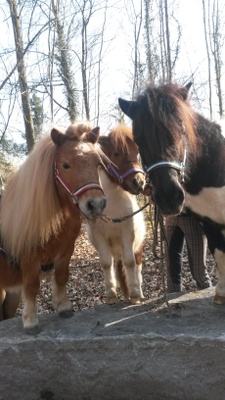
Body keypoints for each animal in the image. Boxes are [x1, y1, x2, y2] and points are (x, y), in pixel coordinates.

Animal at [0, 122, 106, 334]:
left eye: (98, 164)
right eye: (65, 165)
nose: (96, 204)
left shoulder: (66, 252)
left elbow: (62, 276)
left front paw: (63, 306)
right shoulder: (29, 260)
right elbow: (32, 286)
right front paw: (31, 321)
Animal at [86, 124, 146, 304]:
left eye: (137, 151)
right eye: (116, 154)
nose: (139, 182)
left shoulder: (127, 233)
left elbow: (130, 263)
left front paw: (135, 295)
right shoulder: (100, 237)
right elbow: (106, 263)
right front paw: (111, 295)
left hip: (138, 248)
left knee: (137, 269)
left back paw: (139, 293)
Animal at [119, 83, 225, 304]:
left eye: (181, 130)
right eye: (139, 139)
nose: (169, 197)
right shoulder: (209, 219)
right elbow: (219, 253)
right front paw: (221, 293)